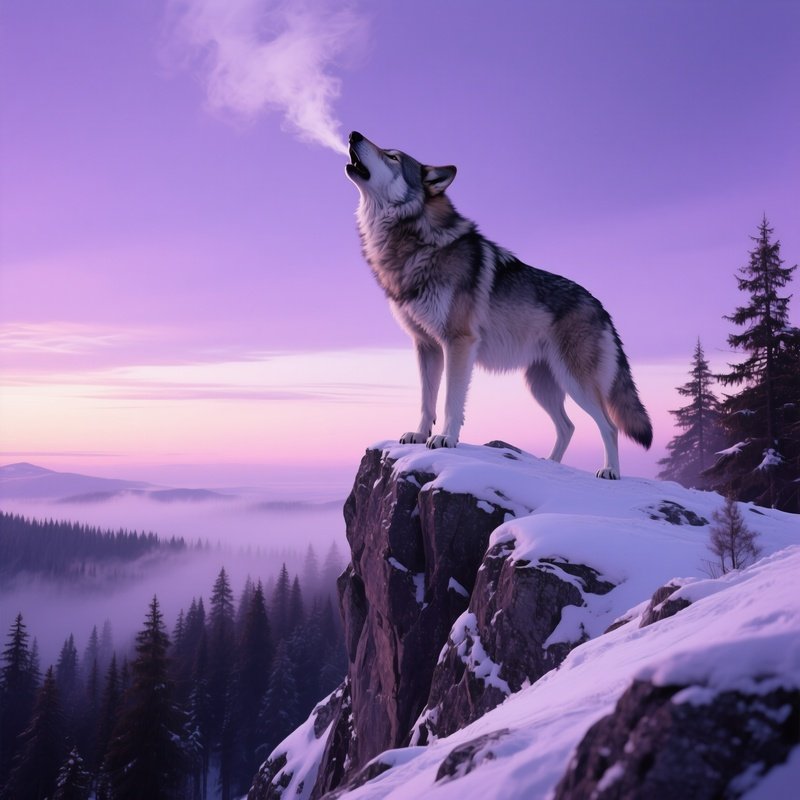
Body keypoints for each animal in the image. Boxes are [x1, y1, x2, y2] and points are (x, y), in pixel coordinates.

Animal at [345, 131, 652, 479]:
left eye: (393, 157)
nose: (354, 134)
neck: (415, 240)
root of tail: (601, 307)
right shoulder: (426, 346)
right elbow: (427, 400)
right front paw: (420, 434)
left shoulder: (458, 342)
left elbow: (451, 400)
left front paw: (445, 438)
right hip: (541, 385)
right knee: (568, 426)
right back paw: (550, 465)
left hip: (576, 383)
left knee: (609, 426)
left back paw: (610, 471)